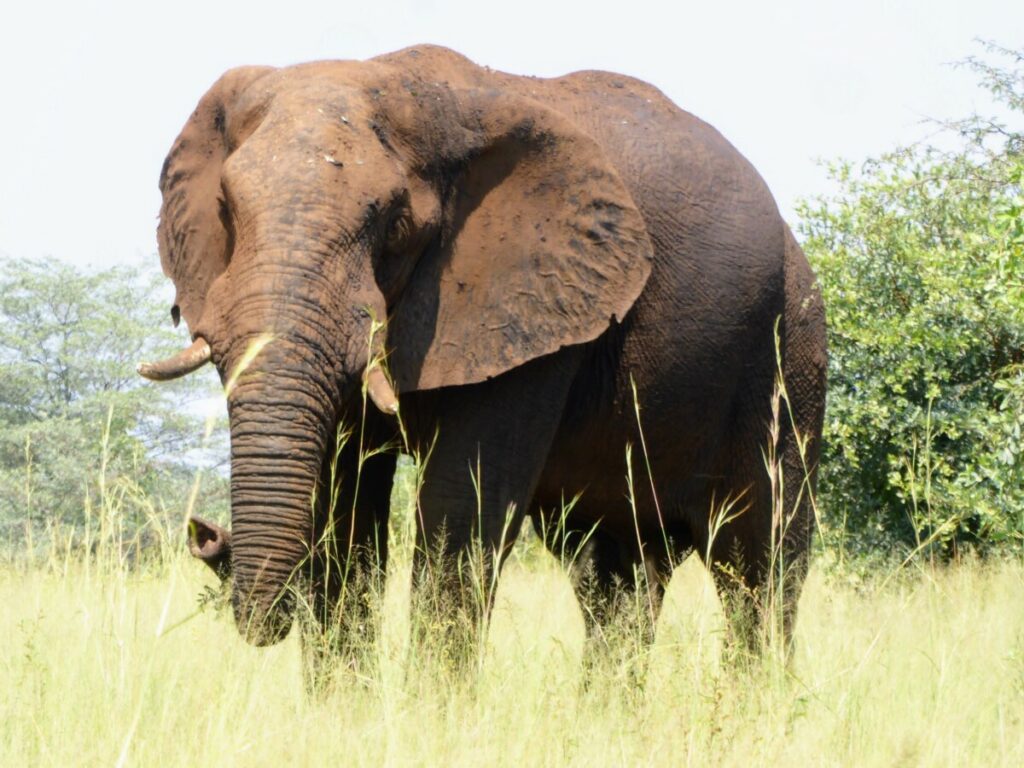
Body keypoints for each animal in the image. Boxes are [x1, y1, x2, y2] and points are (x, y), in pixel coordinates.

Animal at [140, 43, 827, 655]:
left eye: (394, 224)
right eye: (226, 208)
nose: (207, 534)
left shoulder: (535, 311)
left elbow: (460, 513)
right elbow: (343, 513)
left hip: (791, 355)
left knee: (760, 568)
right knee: (615, 577)